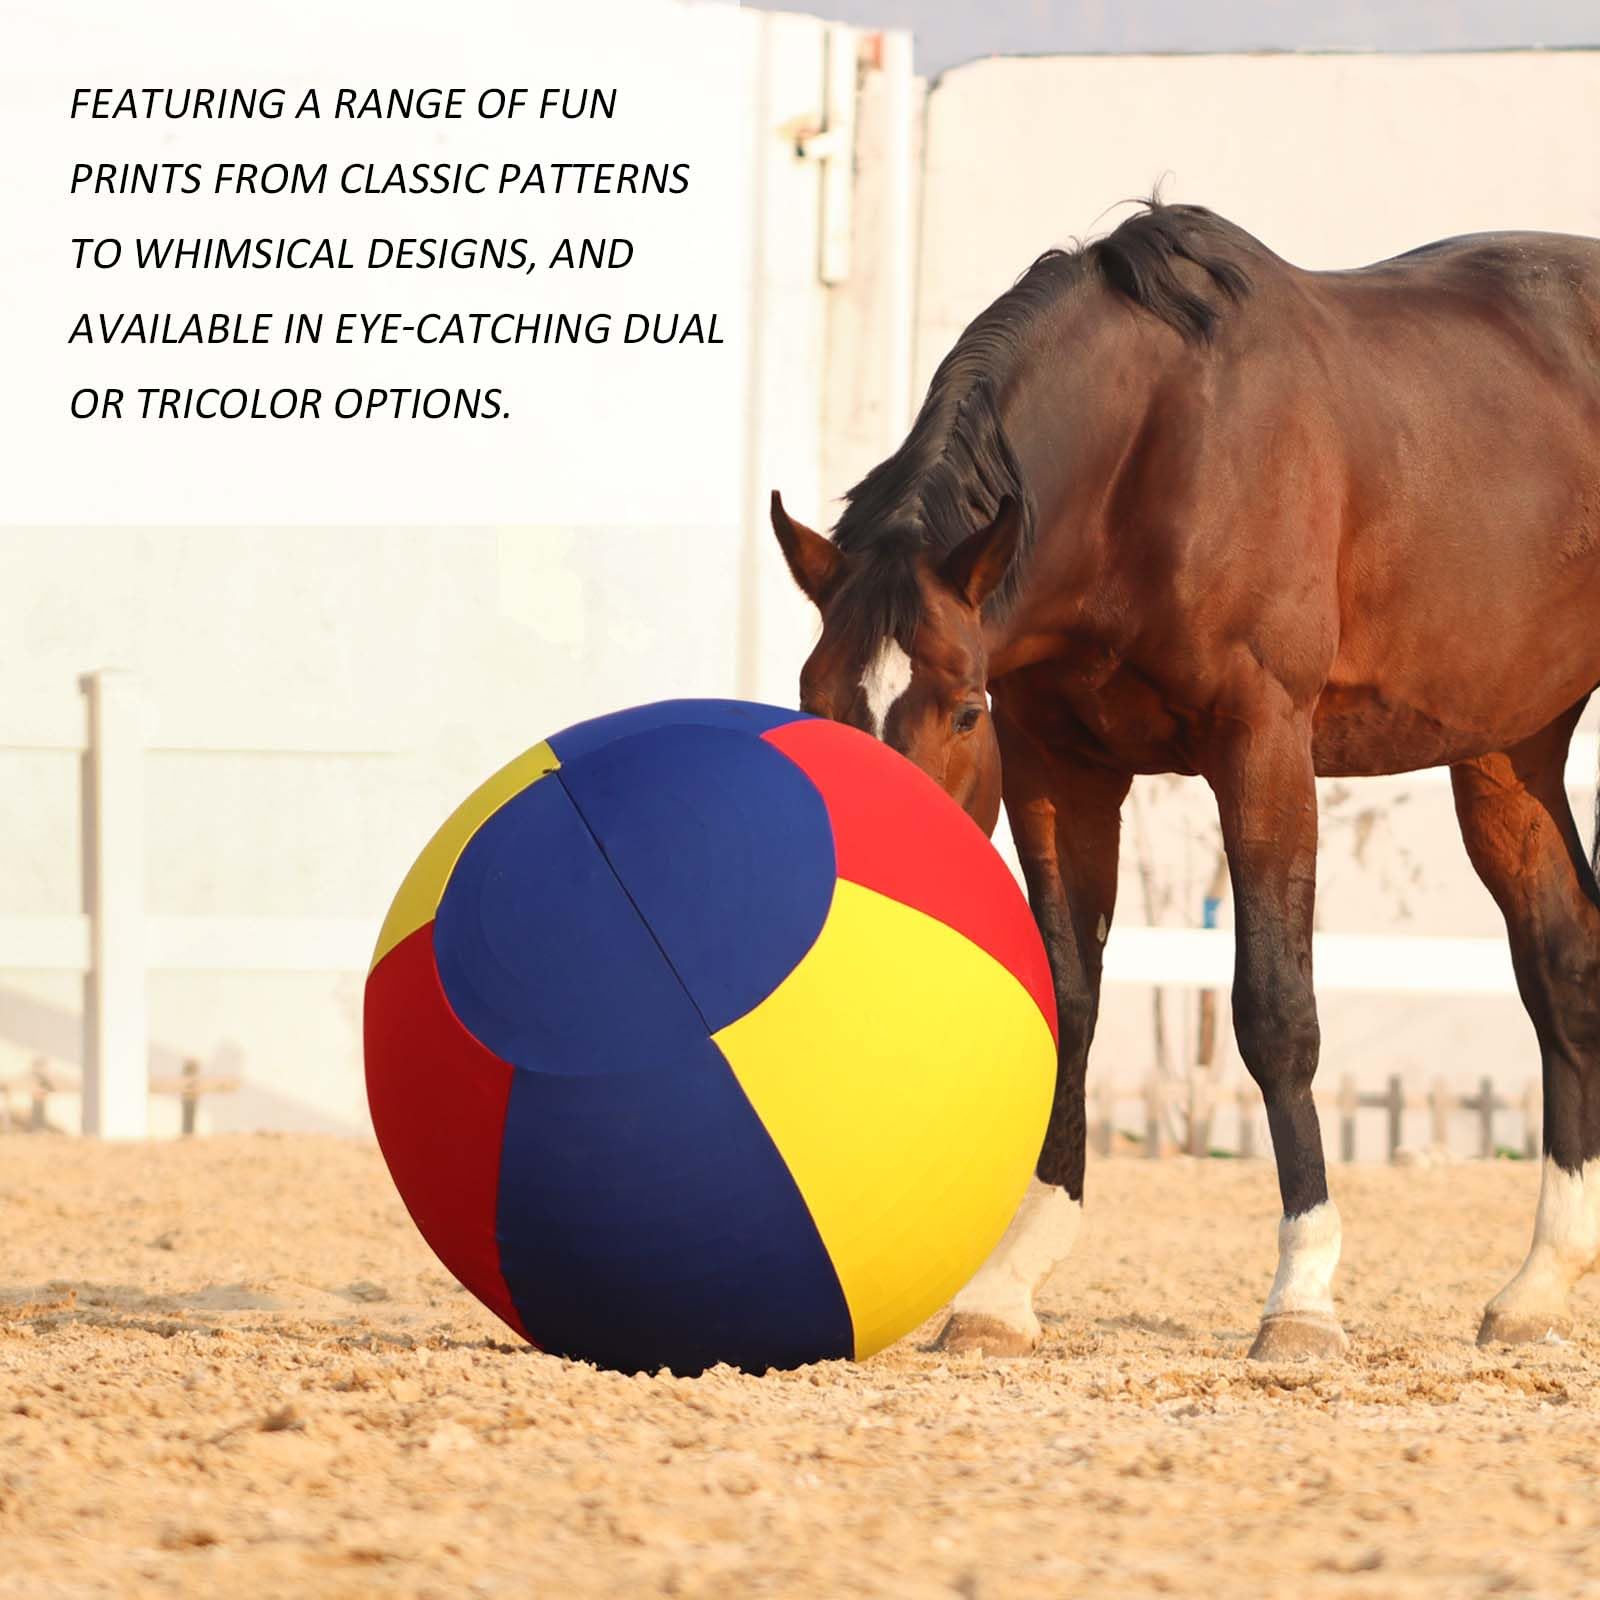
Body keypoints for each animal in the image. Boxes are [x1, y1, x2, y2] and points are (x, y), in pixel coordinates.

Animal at [769, 200, 1600, 1361]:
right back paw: (1539, 1283)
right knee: (1562, 963)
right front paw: (1005, 1286)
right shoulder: (1061, 768)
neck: (1158, 450)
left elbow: (1274, 1011)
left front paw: (1301, 1296)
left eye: (963, 710)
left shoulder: (1262, 745)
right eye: (811, 701)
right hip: (1508, 746)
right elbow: (1071, 1002)